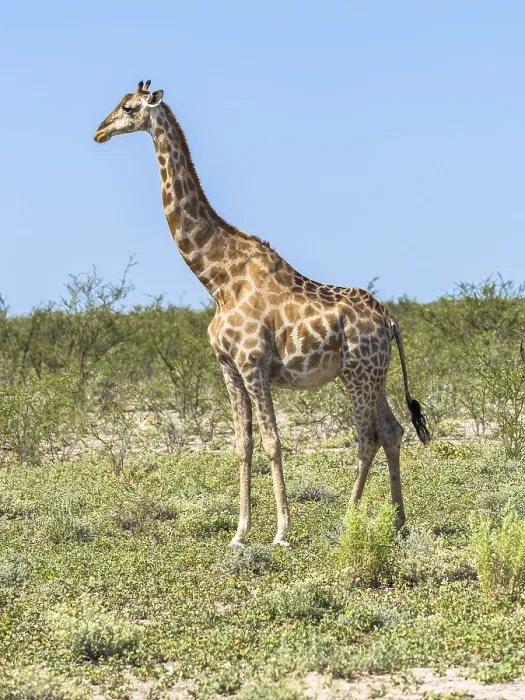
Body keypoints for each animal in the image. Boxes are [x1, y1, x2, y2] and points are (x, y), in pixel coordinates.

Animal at [94, 81, 430, 547]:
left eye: (128, 108)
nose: (99, 131)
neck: (217, 279)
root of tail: (391, 323)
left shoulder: (253, 364)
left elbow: (272, 441)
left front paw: (282, 531)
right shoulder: (228, 367)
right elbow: (242, 444)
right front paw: (240, 532)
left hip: (357, 373)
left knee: (368, 437)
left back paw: (348, 523)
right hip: (374, 374)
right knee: (393, 431)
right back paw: (398, 524)